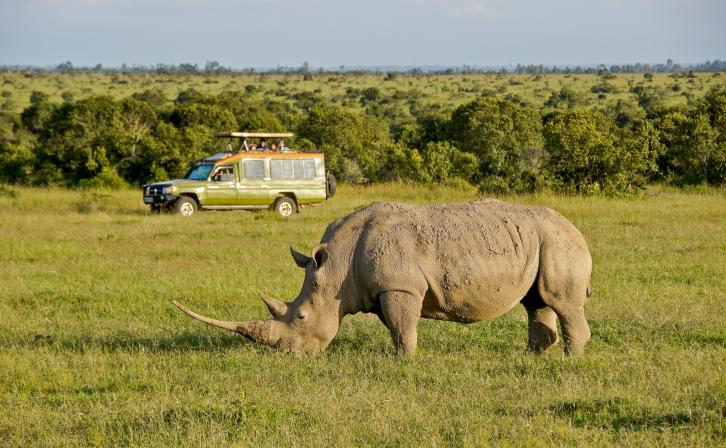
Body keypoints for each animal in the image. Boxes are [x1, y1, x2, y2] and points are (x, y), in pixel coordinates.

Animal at [174, 199, 592, 356]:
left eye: (301, 317)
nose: (290, 355)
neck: (337, 266)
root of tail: (578, 231)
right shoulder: (380, 289)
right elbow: (396, 326)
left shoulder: (399, 286)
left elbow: (401, 328)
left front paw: (404, 362)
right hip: (540, 242)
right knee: (537, 301)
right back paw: (535, 356)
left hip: (559, 243)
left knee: (560, 302)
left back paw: (569, 360)